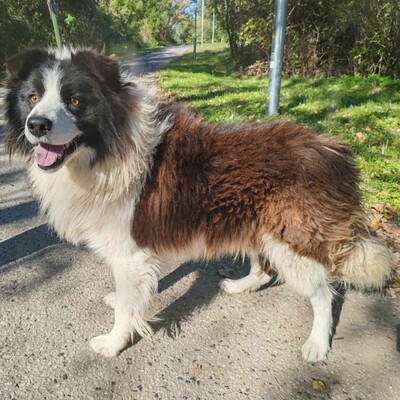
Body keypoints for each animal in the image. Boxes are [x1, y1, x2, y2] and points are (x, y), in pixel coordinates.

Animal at [3, 46, 390, 360]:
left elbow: (128, 306)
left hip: (291, 236)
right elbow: (131, 293)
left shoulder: (129, 250)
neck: (106, 149)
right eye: (33, 97)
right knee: (265, 268)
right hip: (258, 224)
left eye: (75, 100)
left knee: (324, 293)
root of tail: (333, 149)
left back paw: (318, 344)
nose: (36, 125)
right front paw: (123, 303)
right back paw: (239, 286)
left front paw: (114, 342)